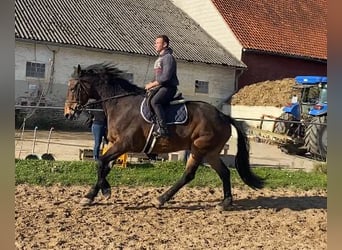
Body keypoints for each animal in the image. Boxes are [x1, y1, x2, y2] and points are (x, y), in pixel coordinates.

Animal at [64, 63, 264, 210]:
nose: (68, 113)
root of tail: (223, 116)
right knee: (224, 172)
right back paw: (225, 202)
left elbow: (100, 163)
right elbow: (104, 167)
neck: (121, 104)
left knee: (189, 175)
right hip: (210, 152)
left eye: (73, 87)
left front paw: (103, 192)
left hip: (200, 148)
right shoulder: (115, 145)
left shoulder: (124, 144)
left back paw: (161, 199)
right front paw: (92, 195)